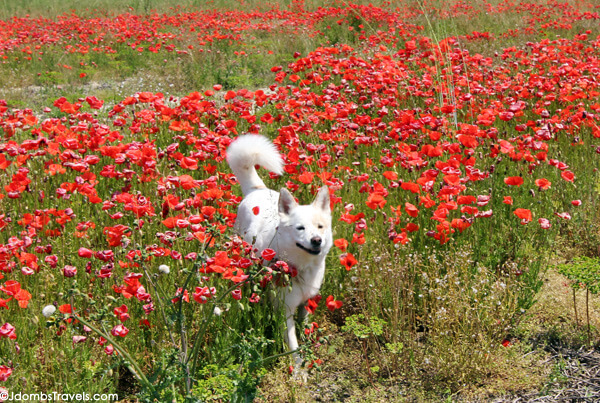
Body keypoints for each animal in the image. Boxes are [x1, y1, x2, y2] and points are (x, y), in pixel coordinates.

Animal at [226, 134, 332, 370]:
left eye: (320, 227)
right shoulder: (285, 312)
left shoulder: (305, 303)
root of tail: (257, 189)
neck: (300, 268)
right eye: (300, 228)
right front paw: (299, 372)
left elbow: (305, 326)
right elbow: (293, 346)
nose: (317, 240)